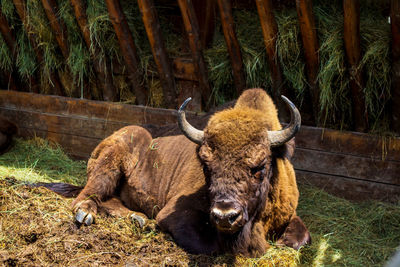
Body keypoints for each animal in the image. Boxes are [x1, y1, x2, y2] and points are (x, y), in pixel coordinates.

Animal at [70, 89, 310, 256]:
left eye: (260, 166)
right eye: (205, 165)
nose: (225, 215)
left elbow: (300, 238)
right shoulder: (173, 214)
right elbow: (211, 245)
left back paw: (138, 219)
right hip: (110, 164)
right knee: (88, 195)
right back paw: (86, 214)